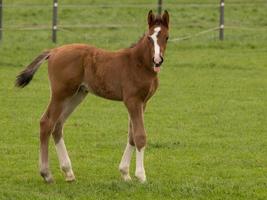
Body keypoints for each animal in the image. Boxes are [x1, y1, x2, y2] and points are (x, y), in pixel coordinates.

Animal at [15, 10, 170, 184]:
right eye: (150, 37)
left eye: (166, 37)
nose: (157, 60)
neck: (139, 63)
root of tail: (54, 51)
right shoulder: (132, 101)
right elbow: (140, 136)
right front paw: (141, 176)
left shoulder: (143, 102)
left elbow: (131, 135)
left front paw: (125, 173)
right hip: (60, 94)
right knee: (46, 122)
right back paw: (46, 173)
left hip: (76, 95)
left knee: (58, 125)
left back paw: (68, 172)